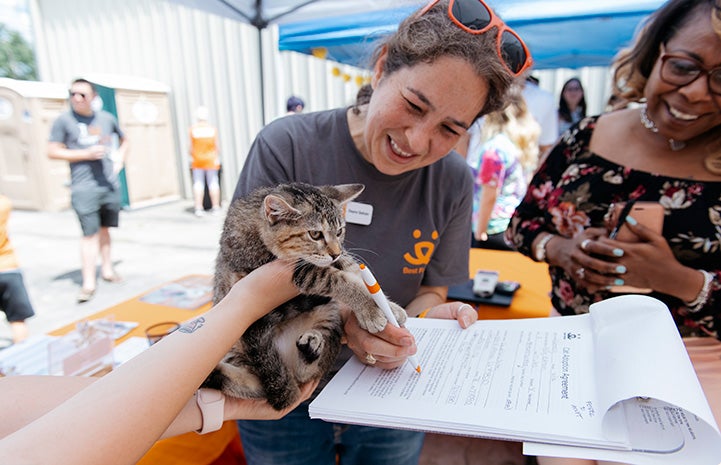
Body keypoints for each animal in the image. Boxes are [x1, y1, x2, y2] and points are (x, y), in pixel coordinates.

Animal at [201, 182, 404, 410]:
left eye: (340, 231)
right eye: (315, 234)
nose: (335, 253)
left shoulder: (332, 259)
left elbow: (351, 267)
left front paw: (389, 307)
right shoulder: (291, 269)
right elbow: (336, 279)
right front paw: (370, 310)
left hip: (329, 315)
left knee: (297, 378)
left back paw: (309, 350)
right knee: (271, 387)